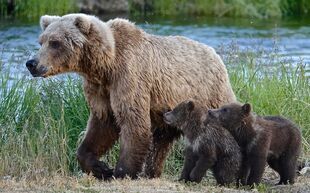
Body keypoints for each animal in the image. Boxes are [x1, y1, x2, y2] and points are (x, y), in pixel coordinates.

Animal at [25, 13, 236, 179]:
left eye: (55, 42)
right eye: (41, 41)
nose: (31, 63)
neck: (105, 65)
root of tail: (214, 53)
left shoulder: (129, 75)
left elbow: (132, 121)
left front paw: (121, 171)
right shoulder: (100, 89)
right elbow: (102, 125)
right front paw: (101, 168)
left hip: (210, 92)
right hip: (169, 111)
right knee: (160, 141)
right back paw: (152, 172)